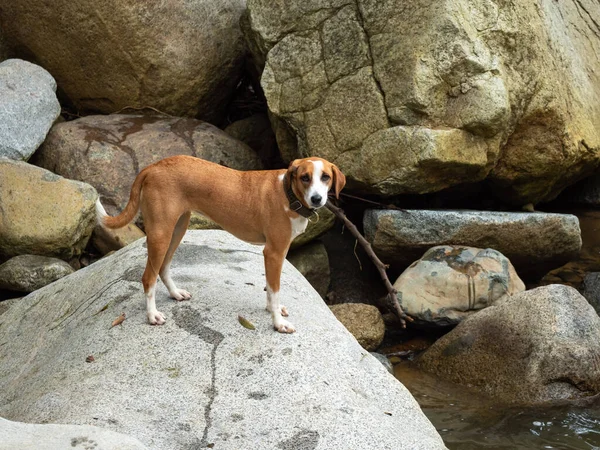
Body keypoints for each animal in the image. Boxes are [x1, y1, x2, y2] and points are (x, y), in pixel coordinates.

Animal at [96, 155, 344, 334]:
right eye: (305, 177)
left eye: (325, 177)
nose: (317, 199)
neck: (287, 195)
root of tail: (153, 166)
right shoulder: (274, 252)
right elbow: (274, 290)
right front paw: (277, 324)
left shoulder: (275, 255)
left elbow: (270, 289)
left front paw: (271, 309)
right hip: (160, 234)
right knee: (148, 276)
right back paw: (152, 315)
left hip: (177, 230)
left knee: (163, 268)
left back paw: (175, 293)